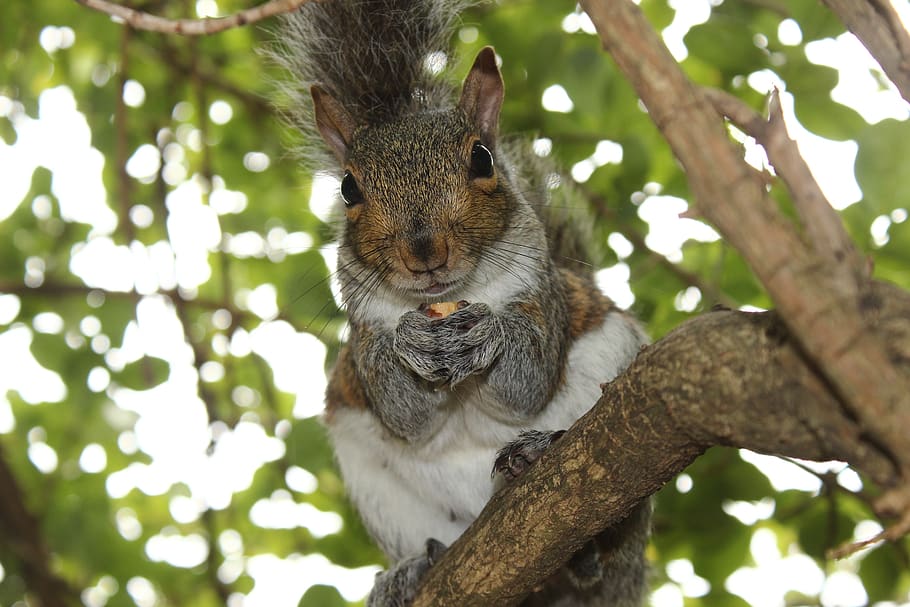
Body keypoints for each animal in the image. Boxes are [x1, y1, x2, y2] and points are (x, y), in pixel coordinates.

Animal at [272, 0, 651, 605]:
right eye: (349, 189)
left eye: (482, 159)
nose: (423, 251)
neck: (452, 298)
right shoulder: (363, 335)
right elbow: (405, 413)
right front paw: (408, 343)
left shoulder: (540, 298)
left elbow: (526, 384)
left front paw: (488, 335)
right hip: (375, 477)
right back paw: (413, 567)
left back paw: (557, 489)